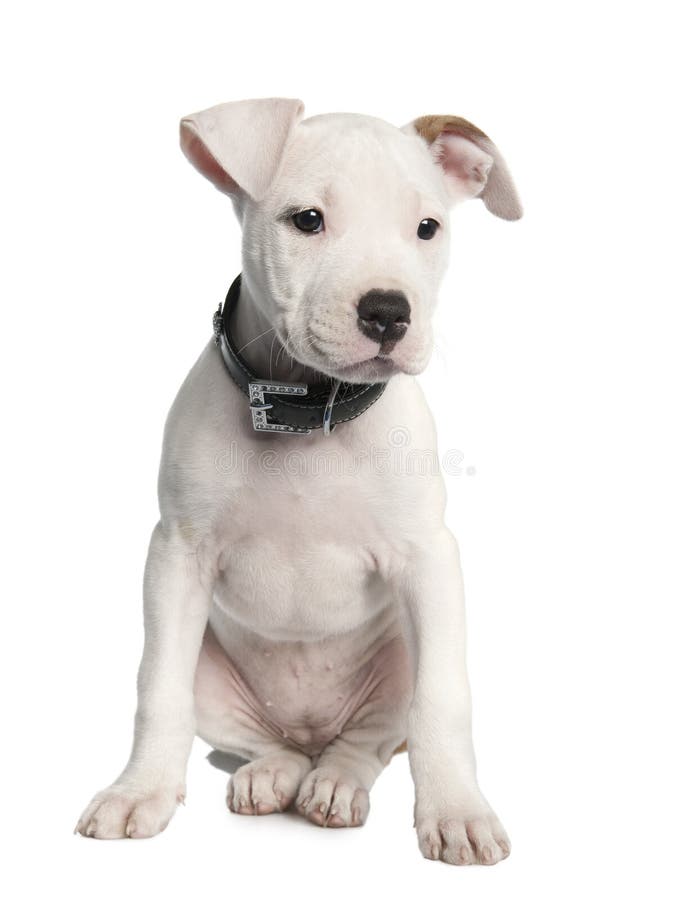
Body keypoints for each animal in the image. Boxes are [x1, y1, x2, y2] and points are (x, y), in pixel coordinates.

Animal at [75, 98, 520, 864]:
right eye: (307, 220)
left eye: (427, 228)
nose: (388, 312)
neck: (309, 415)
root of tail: (309, 735)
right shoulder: (176, 557)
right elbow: (157, 689)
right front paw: (139, 792)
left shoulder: (428, 560)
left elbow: (443, 702)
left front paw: (457, 811)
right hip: (213, 673)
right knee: (259, 741)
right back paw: (273, 775)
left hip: (396, 664)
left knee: (366, 744)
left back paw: (335, 784)